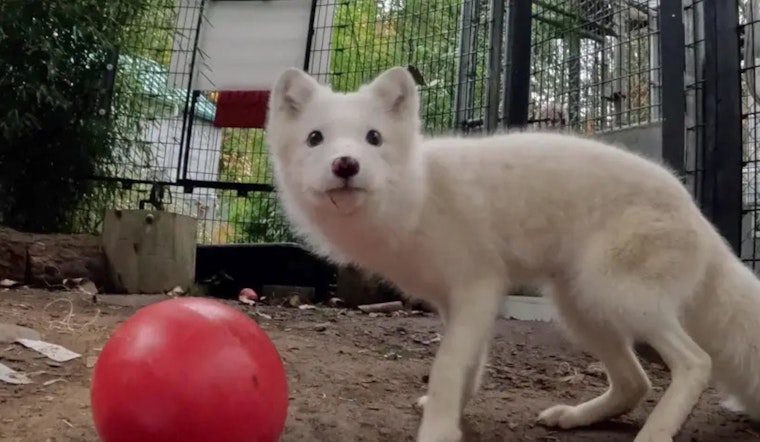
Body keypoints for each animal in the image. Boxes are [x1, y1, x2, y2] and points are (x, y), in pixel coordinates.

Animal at [264, 66, 760, 442]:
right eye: (315, 138)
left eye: (373, 138)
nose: (346, 165)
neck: (418, 192)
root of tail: (698, 214)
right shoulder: (459, 301)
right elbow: (469, 367)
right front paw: (453, 414)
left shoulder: (478, 287)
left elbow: (448, 367)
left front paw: (438, 431)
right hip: (582, 307)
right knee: (635, 382)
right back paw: (575, 417)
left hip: (619, 297)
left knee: (695, 363)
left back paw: (654, 434)